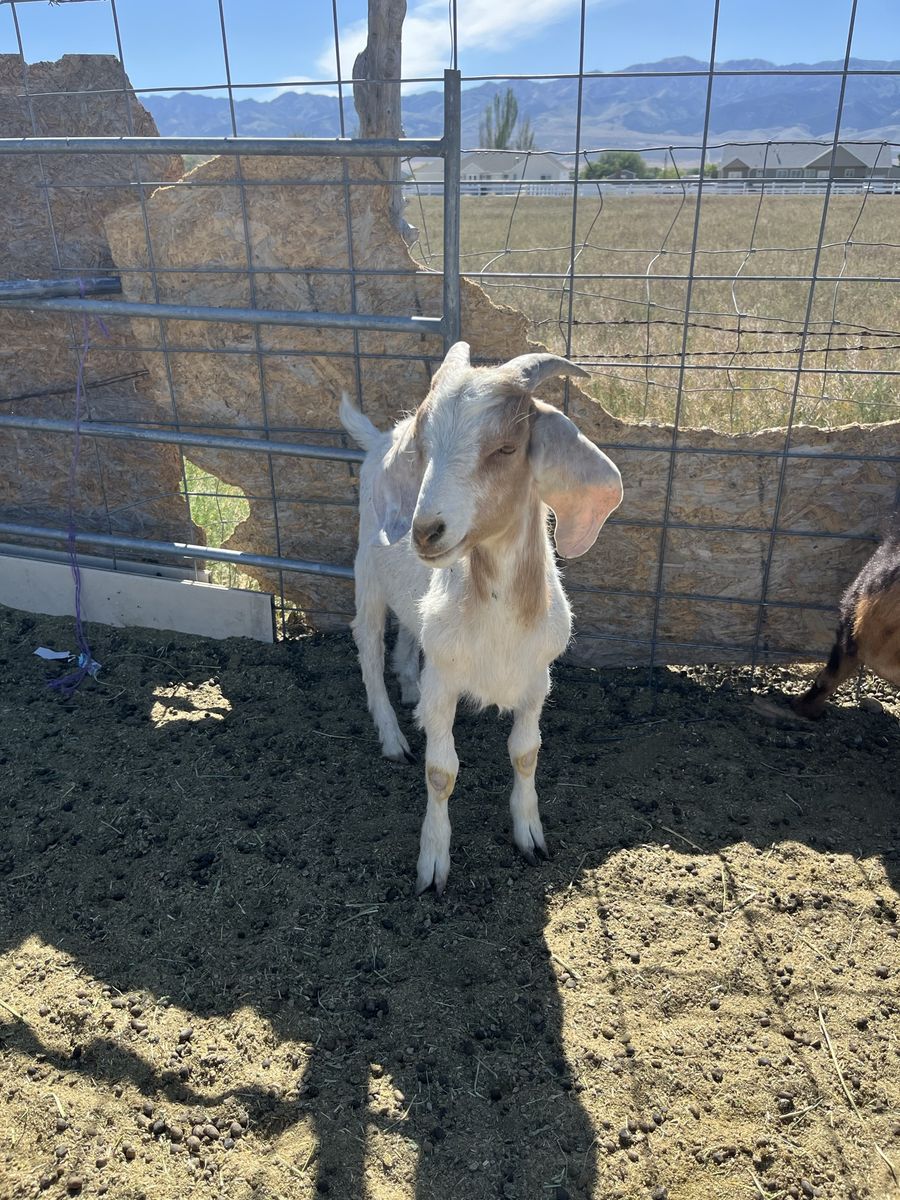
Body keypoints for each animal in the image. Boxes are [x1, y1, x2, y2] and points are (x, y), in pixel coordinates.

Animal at [340, 342, 623, 894]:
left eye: (506, 449)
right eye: (425, 448)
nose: (424, 531)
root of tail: (380, 438)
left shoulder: (537, 679)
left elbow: (526, 752)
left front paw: (530, 835)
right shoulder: (447, 682)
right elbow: (441, 771)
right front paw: (433, 863)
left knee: (407, 638)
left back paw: (410, 691)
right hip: (367, 573)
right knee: (368, 646)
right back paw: (393, 735)